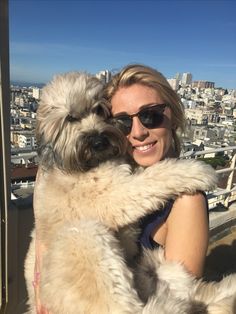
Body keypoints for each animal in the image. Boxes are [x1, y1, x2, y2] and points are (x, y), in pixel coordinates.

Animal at [23, 72, 234, 314]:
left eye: (99, 109)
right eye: (71, 118)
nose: (99, 141)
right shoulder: (112, 195)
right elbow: (154, 177)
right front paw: (196, 170)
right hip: (82, 236)